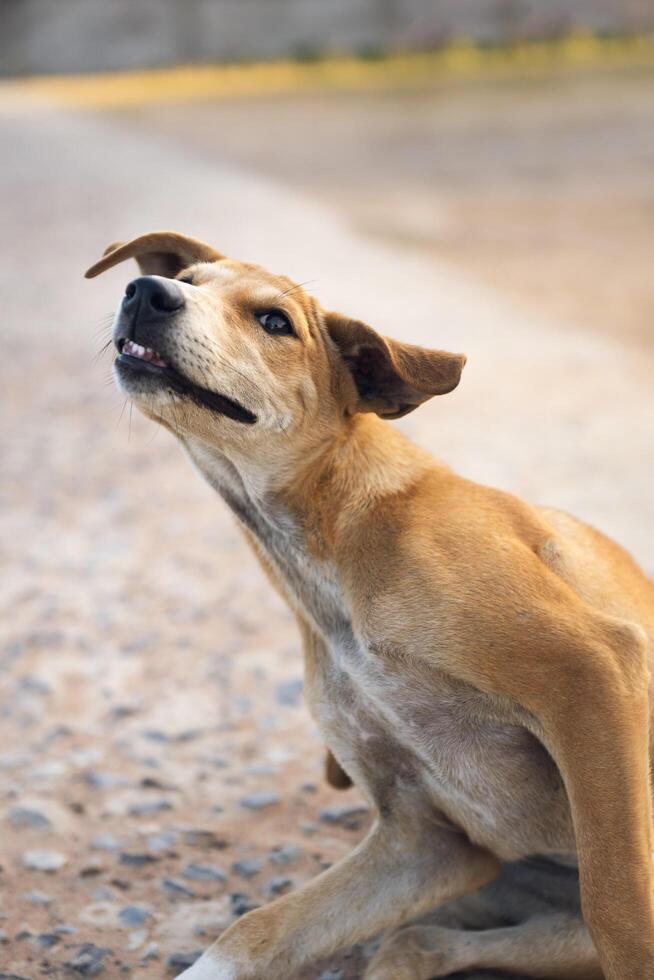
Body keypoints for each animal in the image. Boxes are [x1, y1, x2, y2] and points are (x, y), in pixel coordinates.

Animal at [87, 234, 654, 976]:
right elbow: (252, 933)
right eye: (189, 279)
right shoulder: (428, 842)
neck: (329, 543)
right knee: (419, 940)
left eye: (275, 322)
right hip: (488, 887)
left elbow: (620, 914)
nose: (147, 292)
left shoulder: (593, 669)